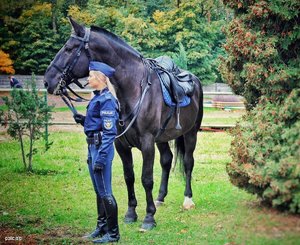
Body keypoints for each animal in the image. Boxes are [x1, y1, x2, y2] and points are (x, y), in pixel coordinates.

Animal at [44, 18, 204, 231]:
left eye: (69, 49)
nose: (47, 81)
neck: (135, 89)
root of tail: (193, 79)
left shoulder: (147, 143)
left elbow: (146, 179)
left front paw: (149, 217)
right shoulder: (121, 145)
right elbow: (130, 177)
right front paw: (130, 214)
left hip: (190, 133)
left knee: (187, 162)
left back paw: (188, 199)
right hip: (162, 138)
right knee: (167, 160)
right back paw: (161, 198)